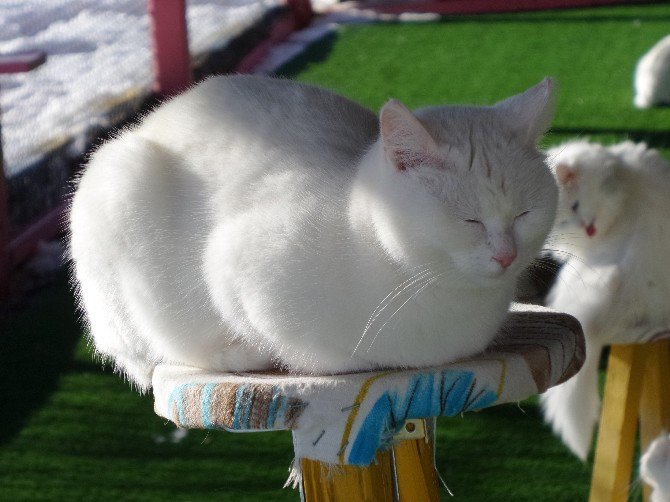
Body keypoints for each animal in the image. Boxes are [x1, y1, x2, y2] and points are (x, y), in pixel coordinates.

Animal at [71, 74, 560, 390]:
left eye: (524, 214)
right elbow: (315, 353)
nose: (506, 254)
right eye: (469, 220)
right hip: (122, 188)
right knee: (159, 348)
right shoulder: (234, 267)